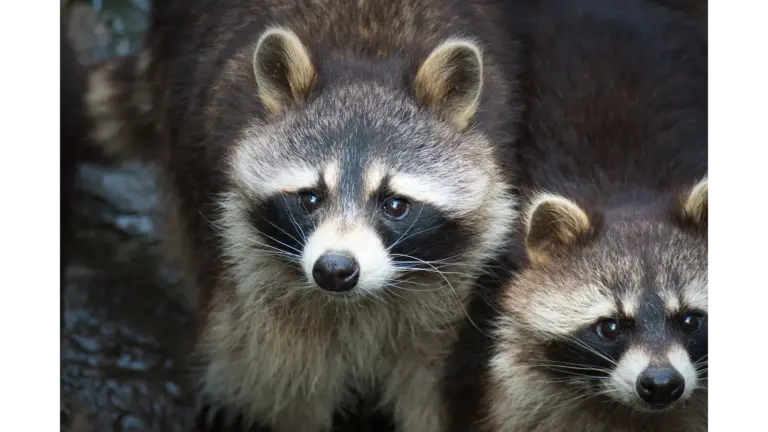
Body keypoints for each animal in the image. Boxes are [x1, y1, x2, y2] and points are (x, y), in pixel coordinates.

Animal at [84, 0, 522, 430]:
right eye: (310, 198)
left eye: (395, 205)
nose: (335, 269)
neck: (367, 57)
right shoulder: (246, 257)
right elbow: (285, 373)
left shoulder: (458, 289)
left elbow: (434, 381)